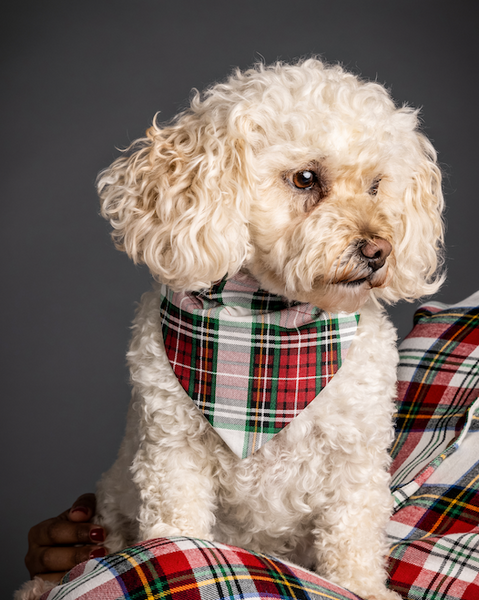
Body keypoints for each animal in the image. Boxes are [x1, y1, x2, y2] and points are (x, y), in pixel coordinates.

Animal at [95, 59, 444, 600]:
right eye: (305, 178)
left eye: (375, 186)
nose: (378, 250)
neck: (269, 323)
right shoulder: (173, 450)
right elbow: (175, 535)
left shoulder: (356, 456)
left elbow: (354, 535)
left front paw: (363, 586)